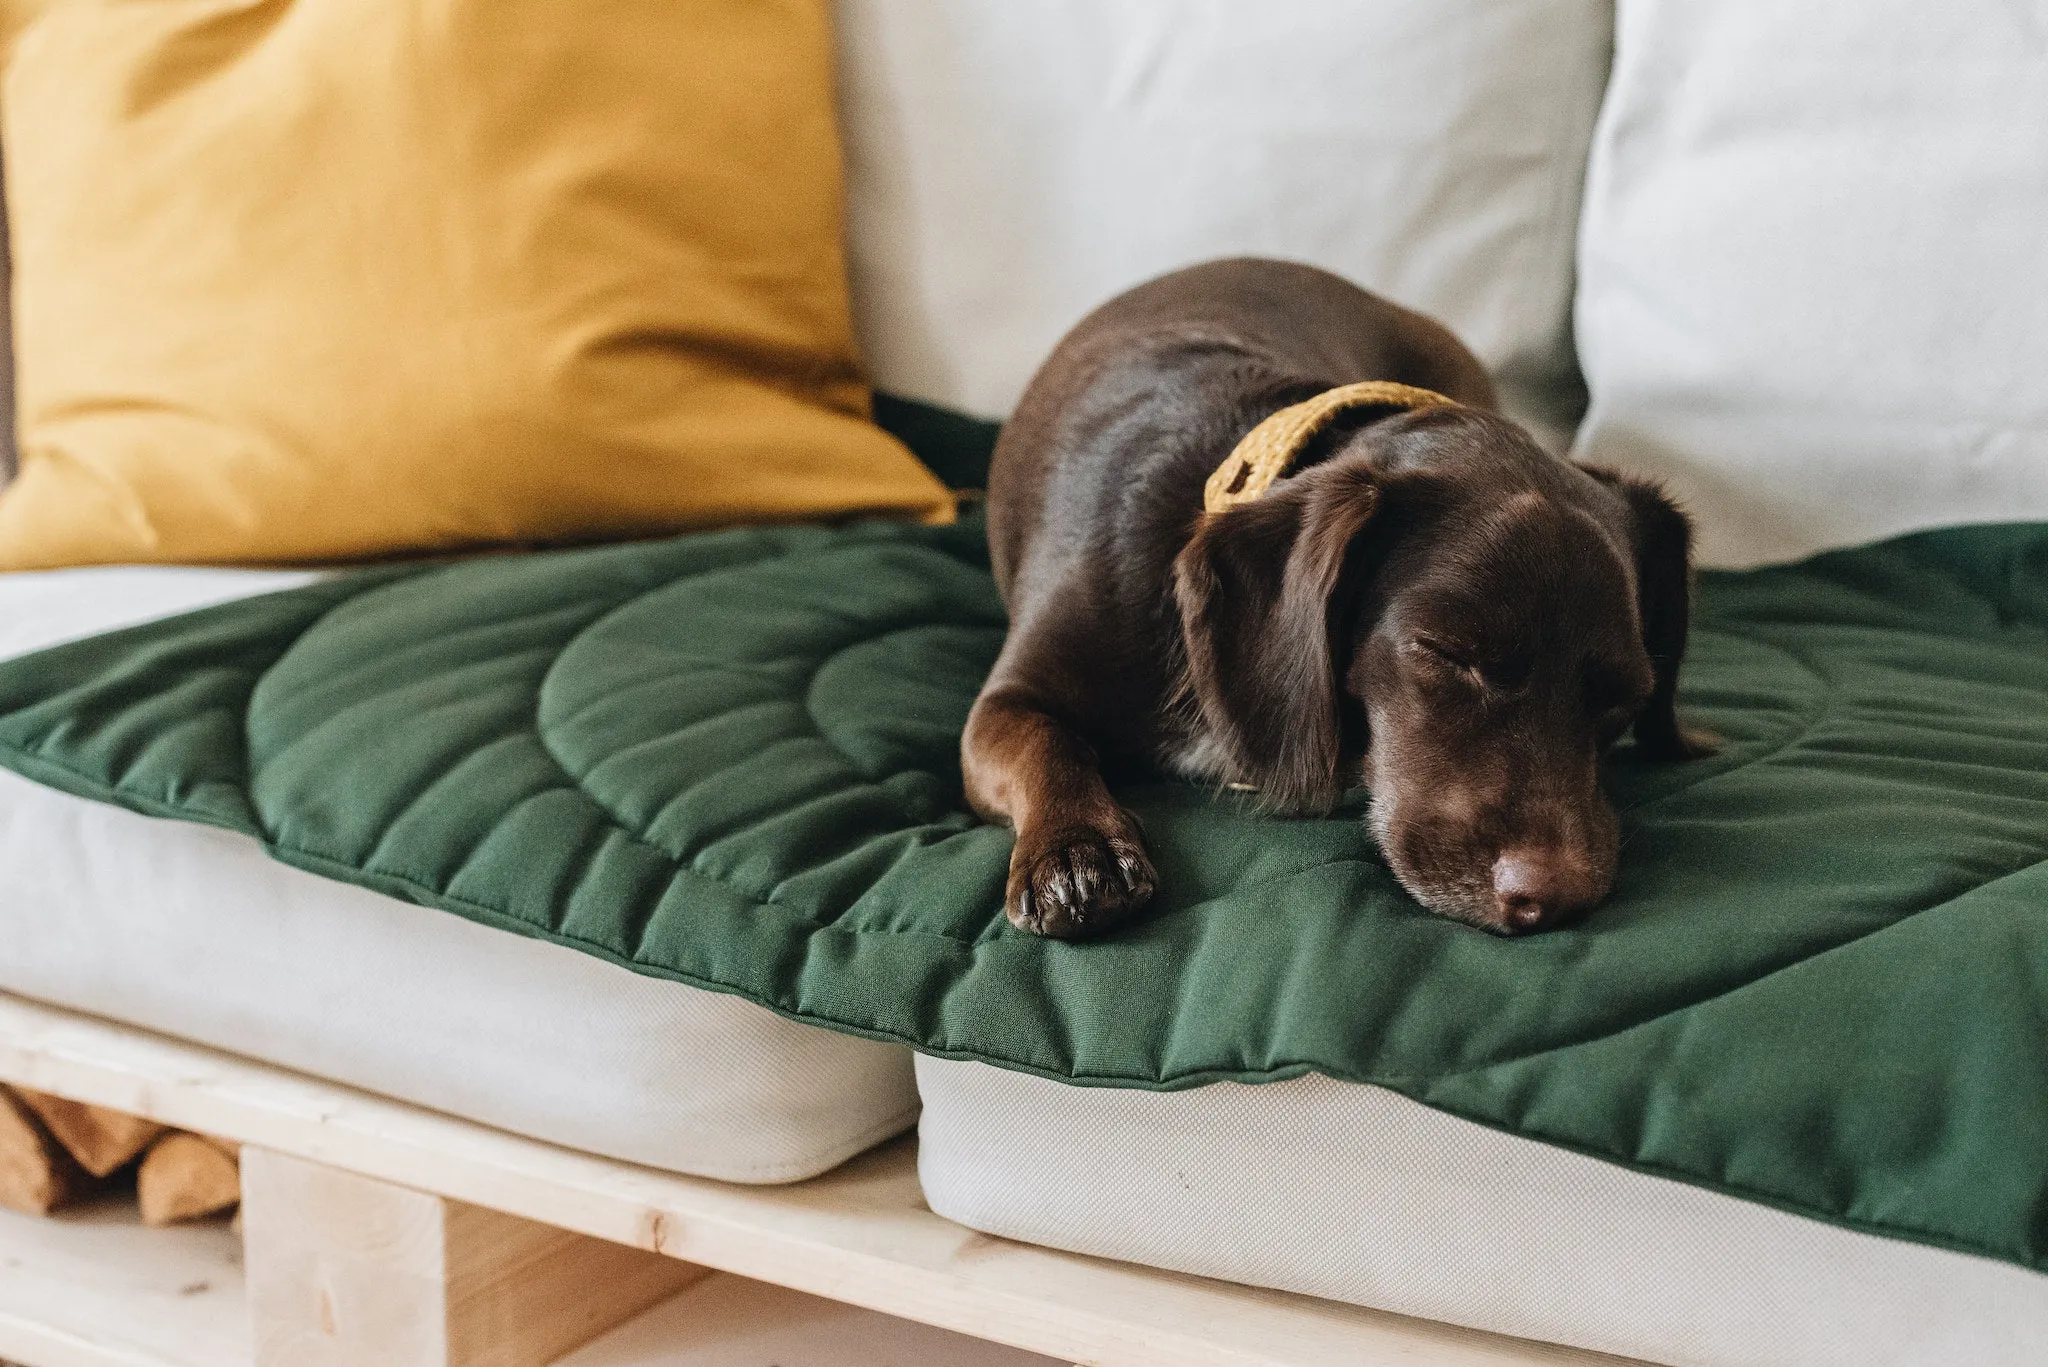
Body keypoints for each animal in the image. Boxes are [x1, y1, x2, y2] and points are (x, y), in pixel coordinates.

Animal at [958, 258, 1712, 942]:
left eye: (1627, 697)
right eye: (1445, 652)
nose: (1555, 901)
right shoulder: (1002, 704)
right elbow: (1048, 744)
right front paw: (1076, 849)